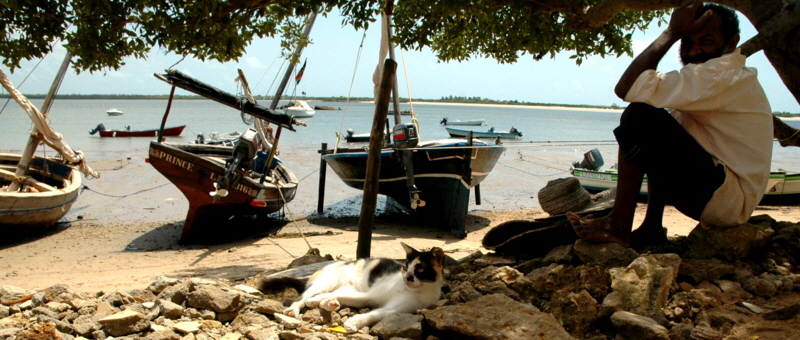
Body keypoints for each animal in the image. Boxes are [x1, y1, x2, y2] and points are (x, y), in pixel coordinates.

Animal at [256, 243, 444, 334]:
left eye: (419, 271)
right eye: (405, 267)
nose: (406, 278)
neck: (408, 290)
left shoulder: (395, 309)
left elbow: (375, 314)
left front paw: (355, 322)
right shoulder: (369, 295)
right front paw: (315, 301)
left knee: (331, 296)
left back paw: (329, 303)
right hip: (327, 281)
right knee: (304, 296)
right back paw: (297, 308)